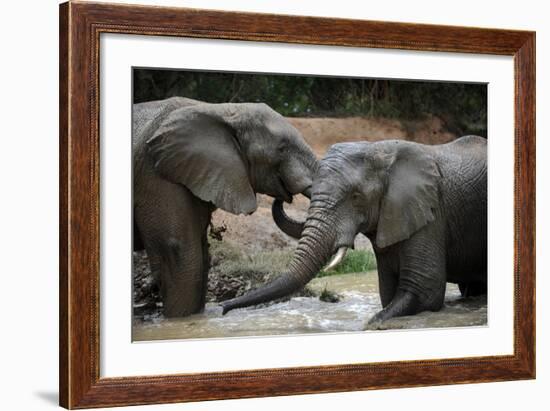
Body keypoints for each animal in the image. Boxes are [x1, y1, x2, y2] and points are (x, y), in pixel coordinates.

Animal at [132, 96, 320, 318]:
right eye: (282, 148)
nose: (223, 309)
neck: (222, 110)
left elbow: (202, 257)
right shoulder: (156, 175)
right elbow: (178, 253)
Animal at [222, 135, 490, 326]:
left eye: (355, 196)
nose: (223, 309)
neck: (381, 150)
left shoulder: (431, 213)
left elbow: (424, 290)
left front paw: (372, 323)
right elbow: (389, 292)